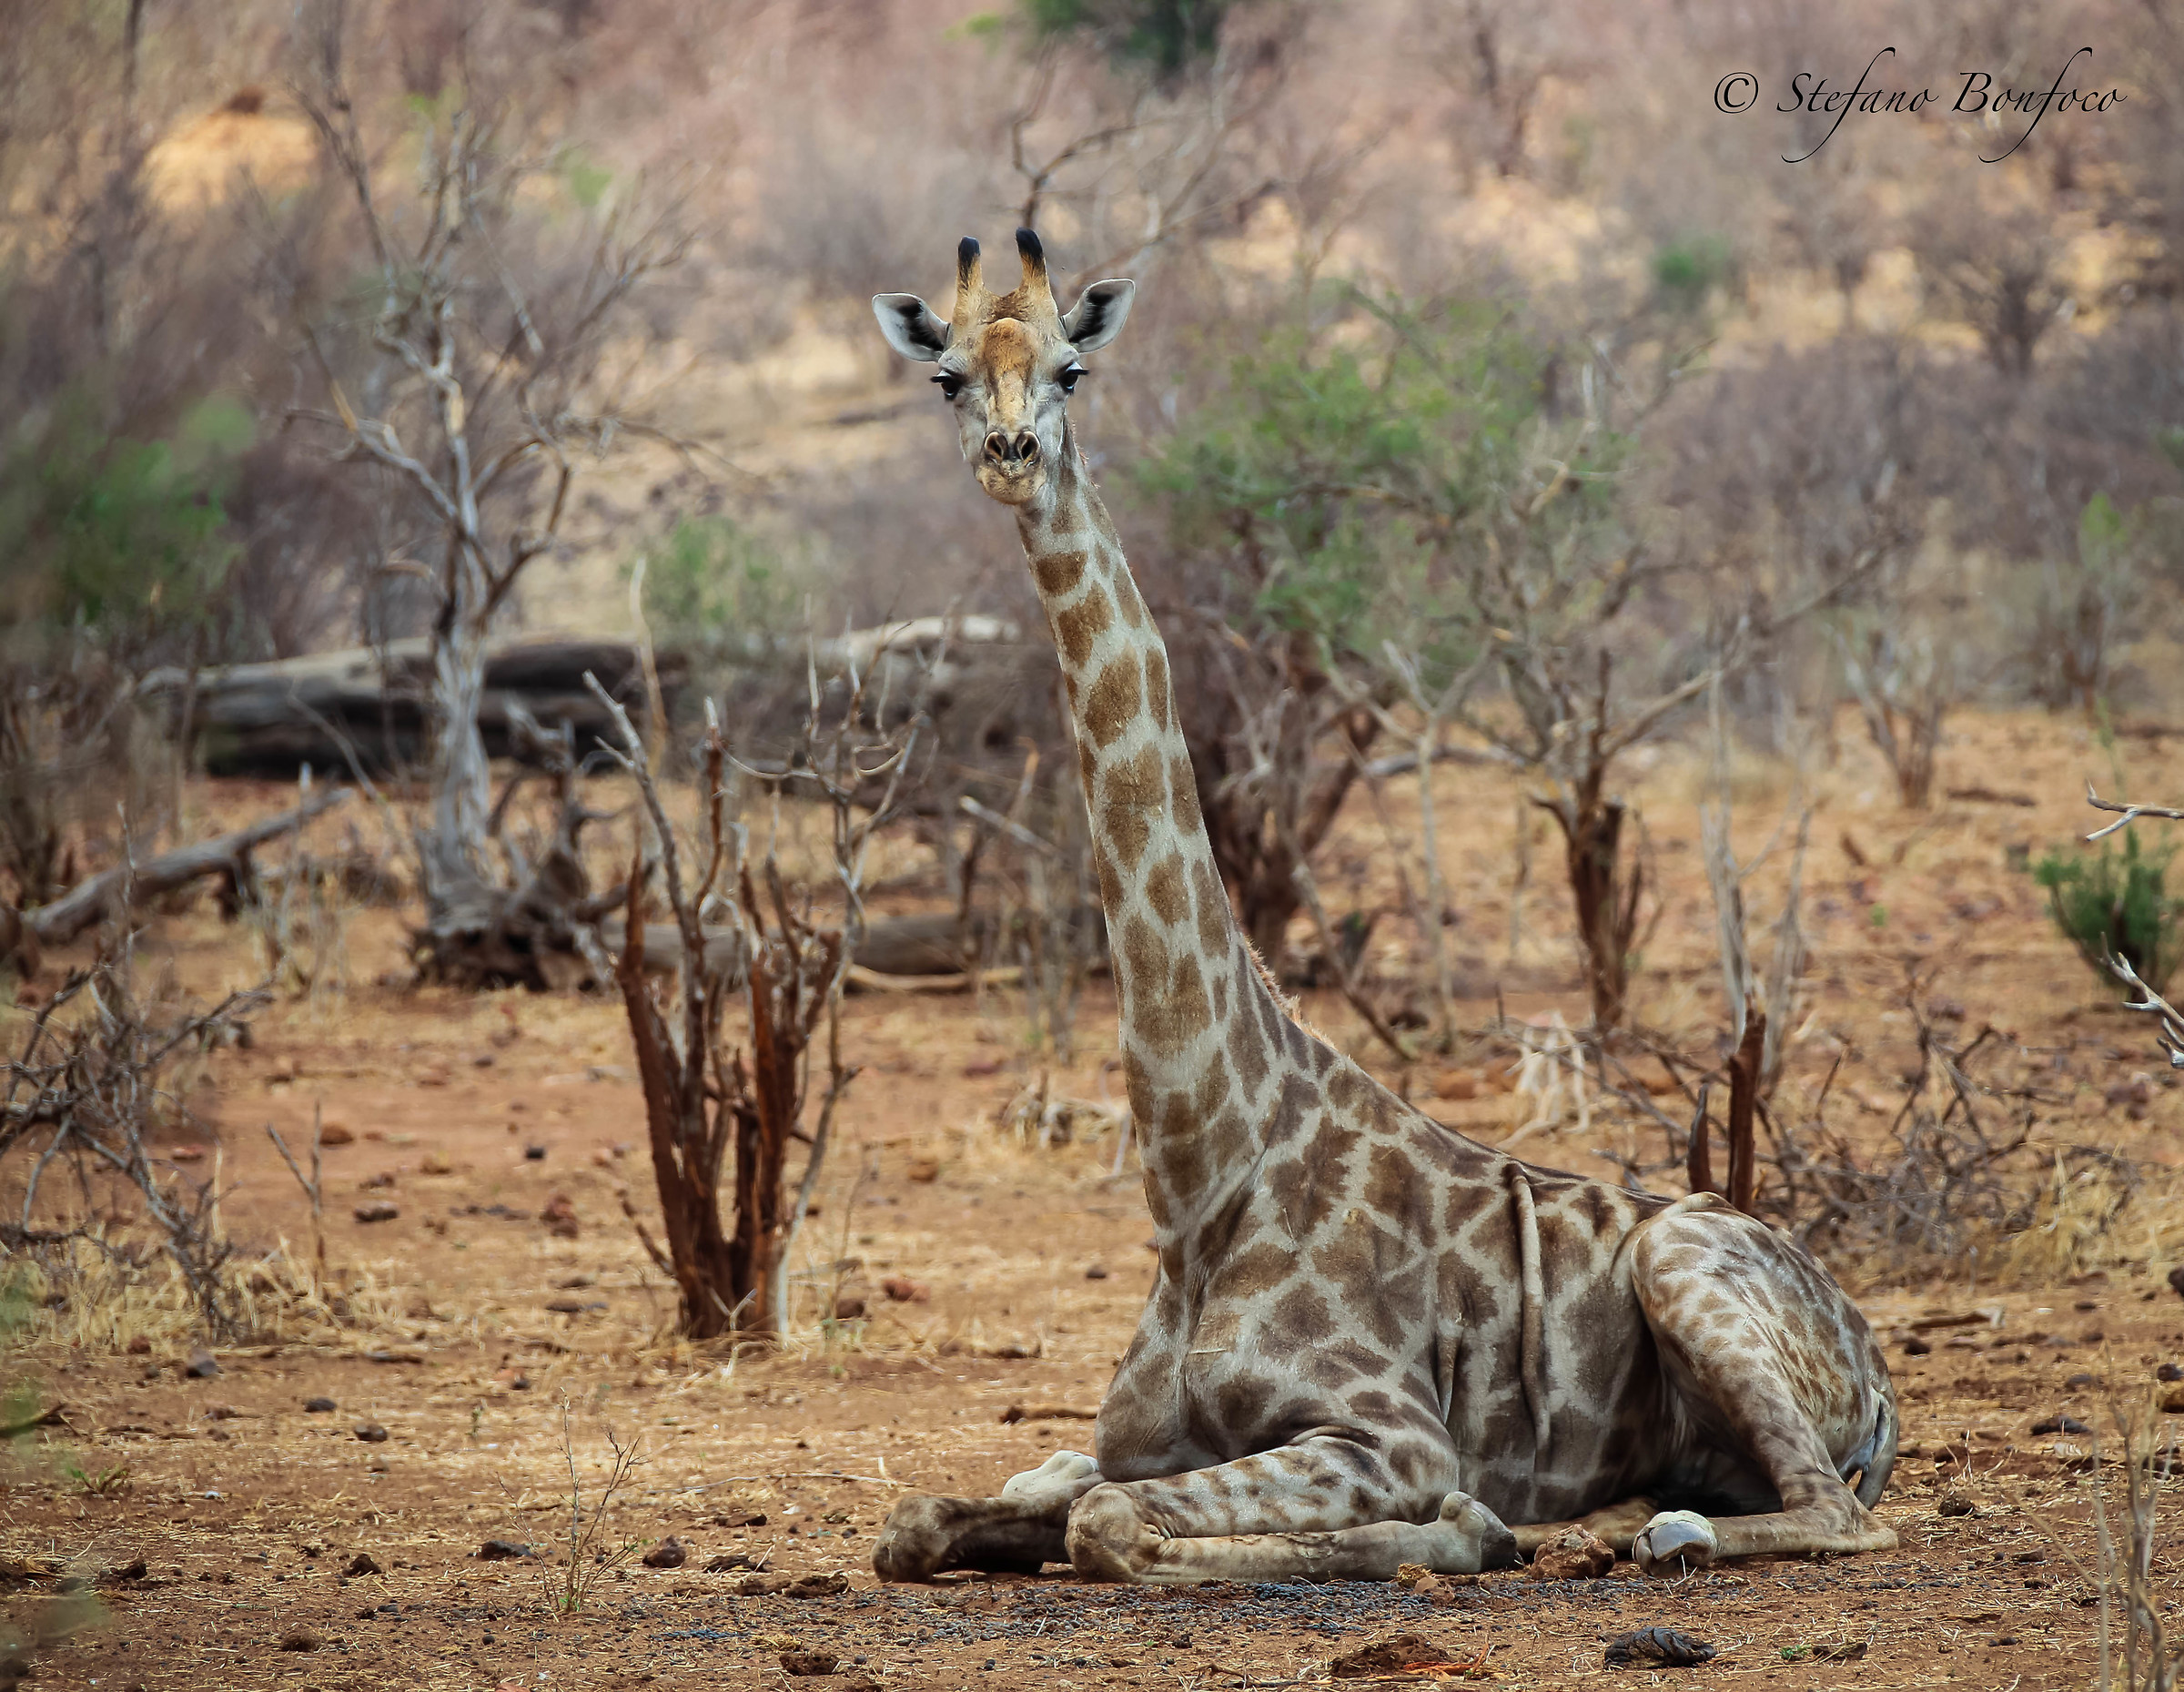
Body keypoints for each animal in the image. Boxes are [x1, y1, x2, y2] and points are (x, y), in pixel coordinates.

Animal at [866, 230, 1900, 1584]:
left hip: (1689, 1269)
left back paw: (1640, 1527)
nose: (1009, 455)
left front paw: (1463, 1525)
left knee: (1834, 1511)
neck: (1199, 1179)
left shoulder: (1388, 1429)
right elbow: (932, 1519)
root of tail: (1877, 1371)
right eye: (944, 375)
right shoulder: (1133, 1439)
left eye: (1071, 368)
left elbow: (1116, 1524)